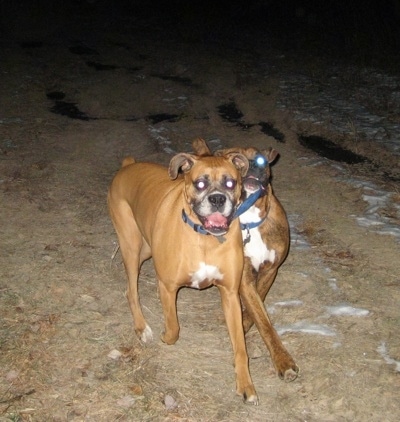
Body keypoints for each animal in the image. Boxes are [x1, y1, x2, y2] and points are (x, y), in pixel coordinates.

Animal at [108, 150, 258, 404]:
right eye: (200, 183)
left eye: (230, 183)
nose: (217, 199)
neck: (206, 239)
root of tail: (128, 166)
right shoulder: (167, 287)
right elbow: (174, 327)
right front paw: (165, 337)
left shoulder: (230, 294)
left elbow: (240, 347)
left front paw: (246, 384)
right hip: (131, 245)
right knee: (131, 290)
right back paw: (141, 328)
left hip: (145, 249)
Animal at [192, 139, 298, 382]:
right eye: (235, 159)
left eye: (260, 159)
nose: (252, 165)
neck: (250, 220)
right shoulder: (244, 278)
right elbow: (264, 321)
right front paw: (283, 360)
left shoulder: (270, 270)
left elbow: (258, 309)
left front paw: (243, 322)